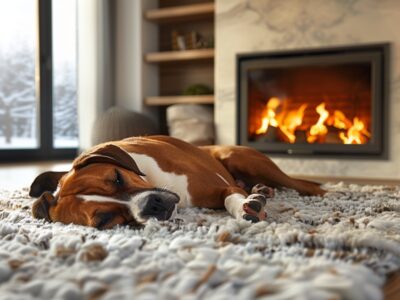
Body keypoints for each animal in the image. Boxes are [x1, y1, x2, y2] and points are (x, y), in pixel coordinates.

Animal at [28, 136, 324, 230]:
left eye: (117, 177)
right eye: (104, 220)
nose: (152, 205)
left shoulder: (223, 187)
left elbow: (231, 197)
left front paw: (246, 209)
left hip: (243, 159)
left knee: (308, 186)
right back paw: (261, 190)